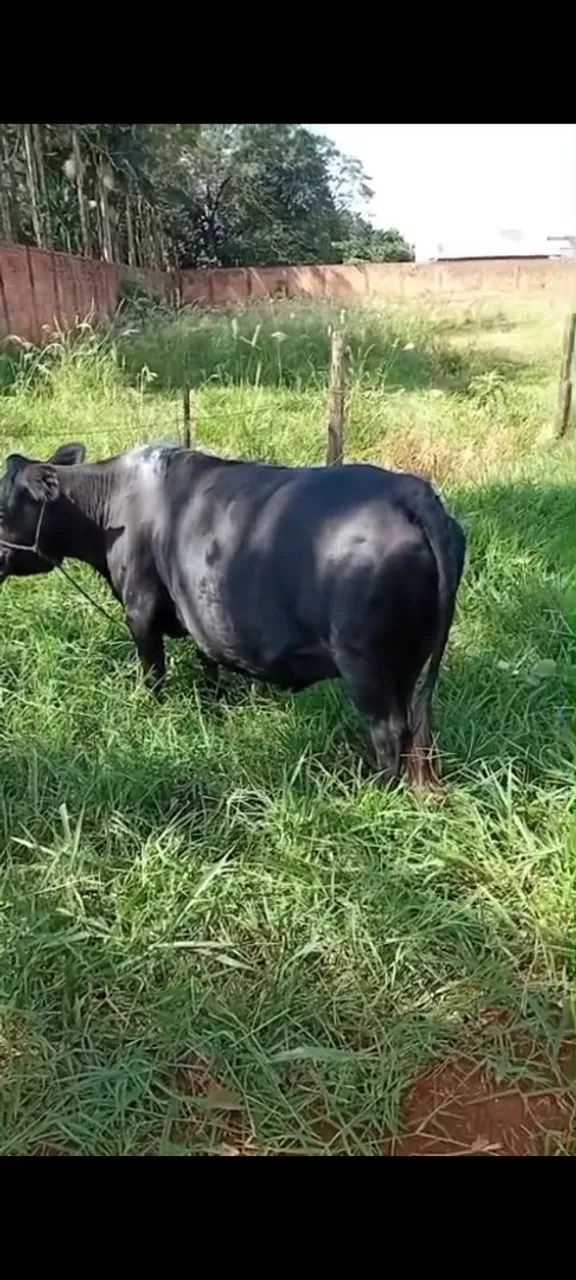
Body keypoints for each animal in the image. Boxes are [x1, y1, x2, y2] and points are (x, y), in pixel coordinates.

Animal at [0, 441, 466, 787]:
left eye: (4, 506)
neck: (114, 502)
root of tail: (411, 491)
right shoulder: (199, 616)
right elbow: (209, 667)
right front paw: (212, 711)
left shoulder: (140, 610)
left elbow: (153, 676)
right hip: (407, 662)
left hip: (365, 665)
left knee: (389, 730)